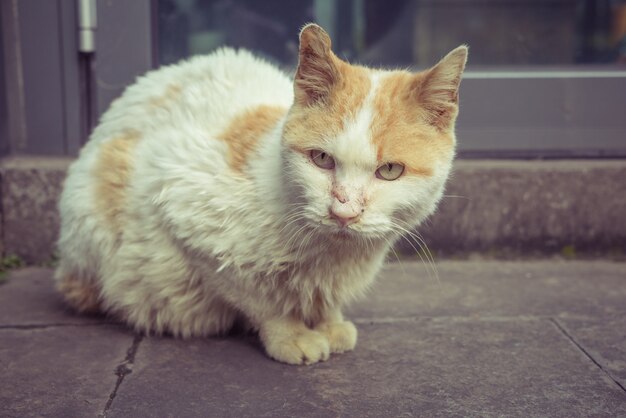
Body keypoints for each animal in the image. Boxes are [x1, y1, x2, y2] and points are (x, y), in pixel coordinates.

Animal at [53, 24, 466, 364]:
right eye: (321, 159)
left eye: (390, 171)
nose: (344, 211)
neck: (331, 255)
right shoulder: (176, 197)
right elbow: (260, 298)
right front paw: (291, 334)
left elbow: (323, 299)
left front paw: (329, 323)